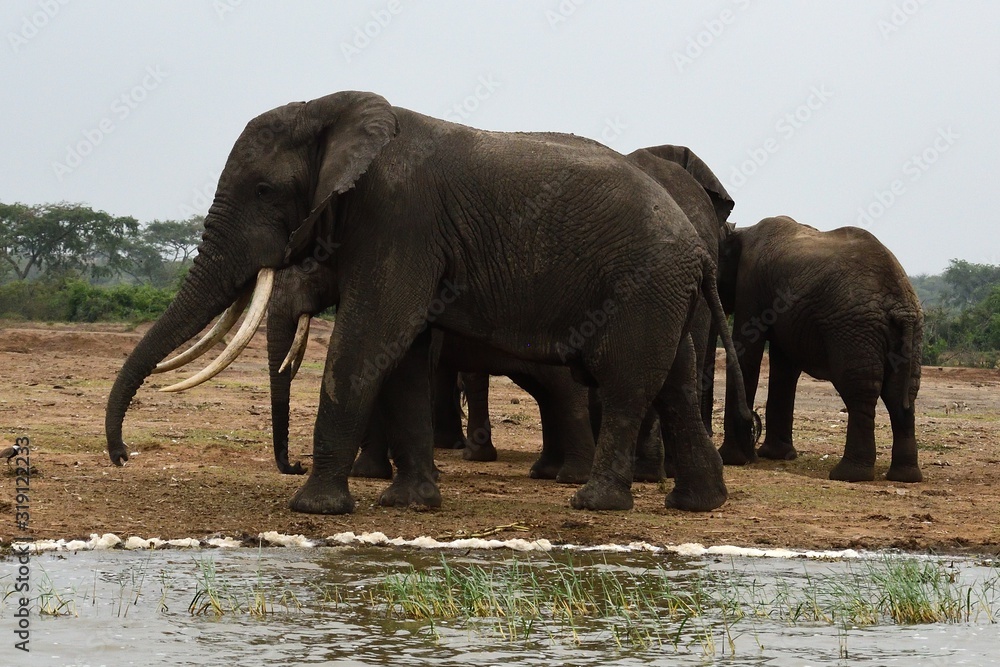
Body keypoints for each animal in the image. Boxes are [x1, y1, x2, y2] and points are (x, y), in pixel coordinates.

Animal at [106, 90, 753, 515]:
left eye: (263, 190)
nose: (123, 457)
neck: (333, 112)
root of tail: (699, 250)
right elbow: (403, 358)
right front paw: (408, 504)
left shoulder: (399, 216)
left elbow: (368, 341)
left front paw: (314, 509)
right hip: (660, 292)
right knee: (670, 382)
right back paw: (696, 504)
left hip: (641, 283)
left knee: (625, 383)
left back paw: (593, 504)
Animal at [716, 215, 924, 483]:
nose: (754, 424)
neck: (742, 230)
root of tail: (900, 301)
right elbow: (785, 367)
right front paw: (776, 456)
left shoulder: (751, 284)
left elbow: (747, 352)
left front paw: (732, 459)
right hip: (910, 333)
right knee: (901, 392)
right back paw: (905, 476)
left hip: (854, 330)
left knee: (860, 390)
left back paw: (848, 475)